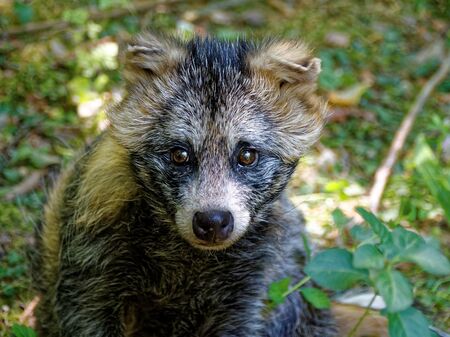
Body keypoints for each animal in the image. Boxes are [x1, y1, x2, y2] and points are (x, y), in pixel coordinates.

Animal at [32, 32, 342, 336]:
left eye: (247, 155)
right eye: (179, 155)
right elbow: (85, 316)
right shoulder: (91, 253)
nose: (213, 221)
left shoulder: (251, 282)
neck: (189, 255)